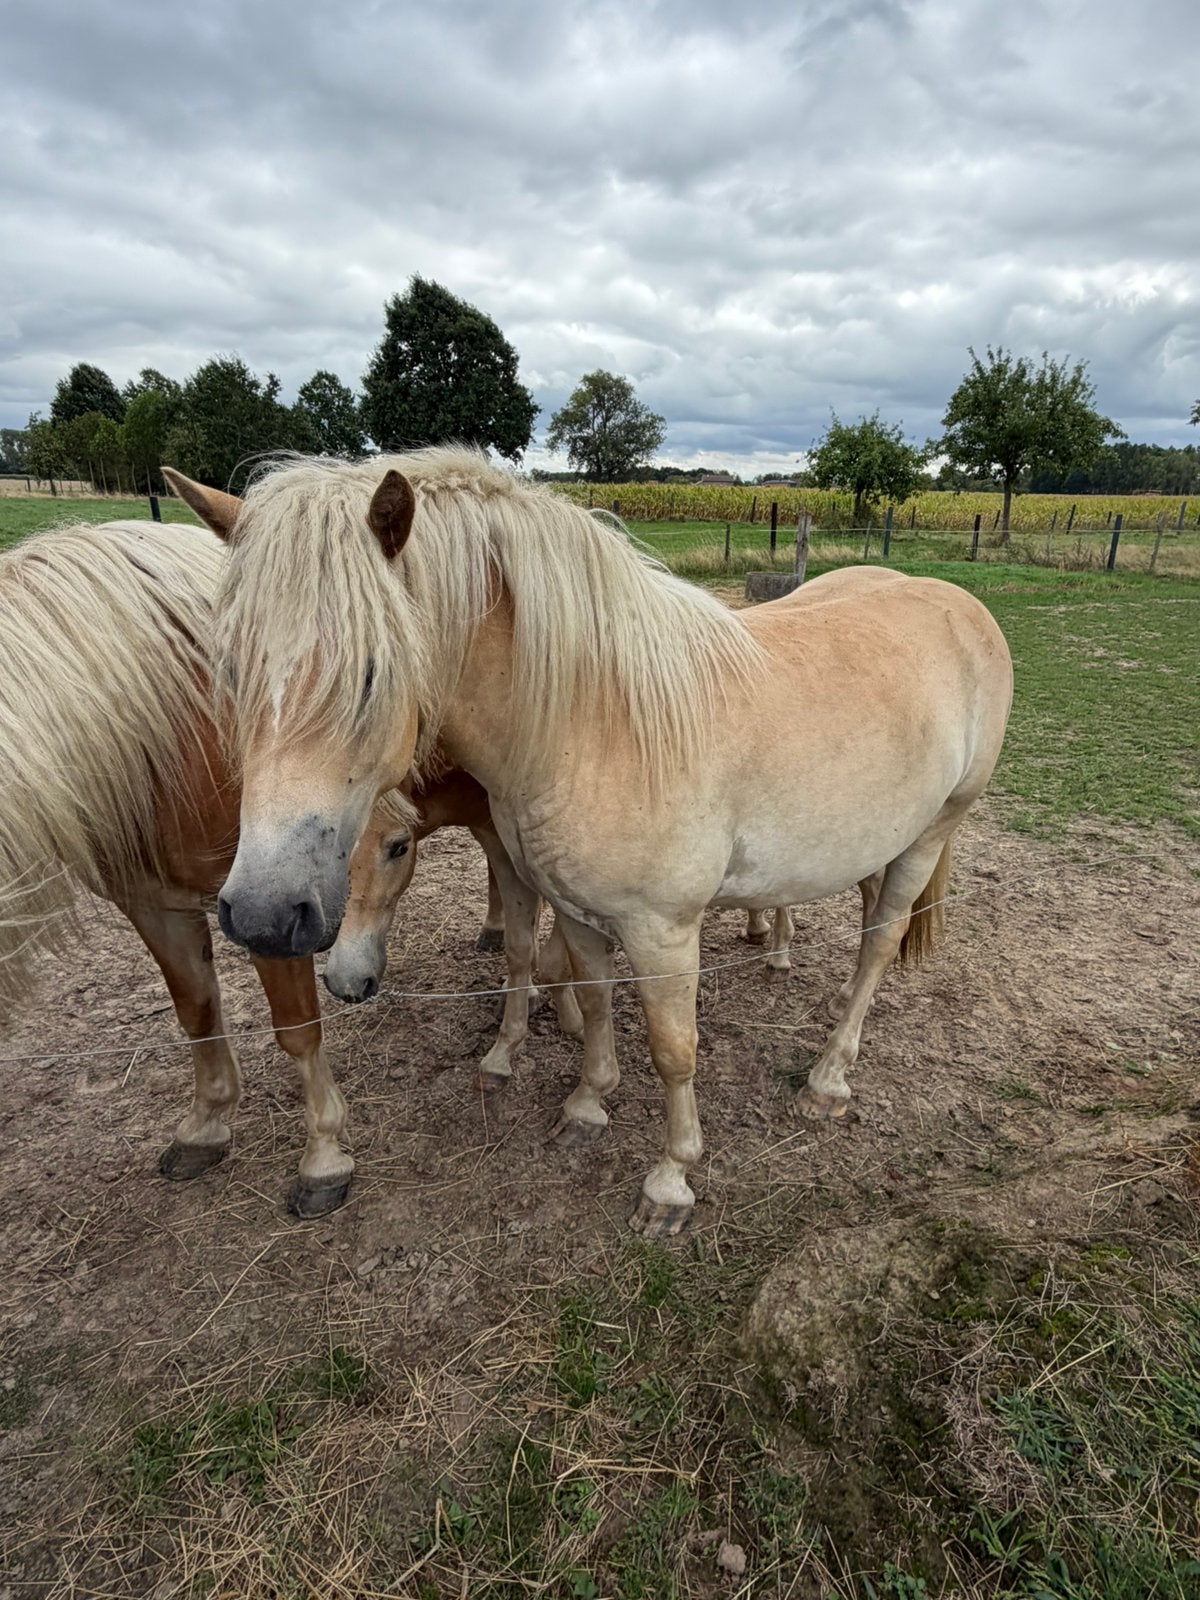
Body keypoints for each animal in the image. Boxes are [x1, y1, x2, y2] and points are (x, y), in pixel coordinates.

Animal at [170, 451, 1012, 1238]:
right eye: (232, 669)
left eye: (371, 673)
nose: (263, 914)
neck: (596, 722)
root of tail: (960, 604)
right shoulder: (574, 910)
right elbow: (596, 1001)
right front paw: (585, 1107)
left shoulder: (664, 931)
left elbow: (673, 1049)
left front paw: (671, 1181)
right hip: (880, 840)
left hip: (931, 836)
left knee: (880, 944)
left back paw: (829, 1077)